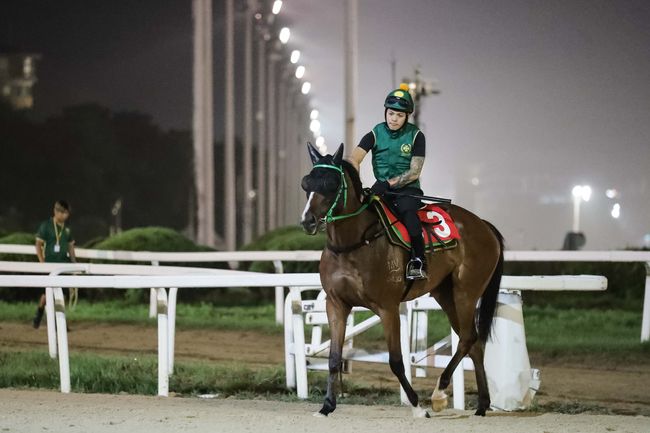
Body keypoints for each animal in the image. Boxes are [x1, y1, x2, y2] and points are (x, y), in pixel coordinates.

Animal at [298, 143, 502, 416]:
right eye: (306, 183)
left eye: (331, 183)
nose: (307, 221)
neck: (354, 244)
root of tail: (484, 225)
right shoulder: (336, 304)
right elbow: (333, 358)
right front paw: (327, 406)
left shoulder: (388, 308)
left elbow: (396, 361)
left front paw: (417, 406)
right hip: (446, 294)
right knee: (474, 342)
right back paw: (482, 404)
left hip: (466, 293)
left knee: (468, 339)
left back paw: (439, 393)